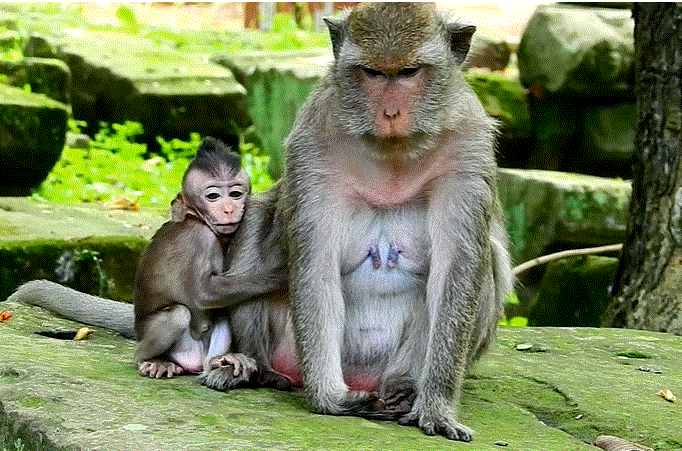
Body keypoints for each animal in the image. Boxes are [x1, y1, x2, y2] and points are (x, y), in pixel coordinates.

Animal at [197, 3, 513, 442]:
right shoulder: (313, 142)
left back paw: (406, 389)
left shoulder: (468, 147)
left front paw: (436, 406)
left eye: (409, 72)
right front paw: (329, 398)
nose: (391, 113)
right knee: (256, 220)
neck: (393, 153)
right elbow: (316, 264)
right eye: (374, 73)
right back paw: (252, 367)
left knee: (490, 262)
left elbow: (458, 271)